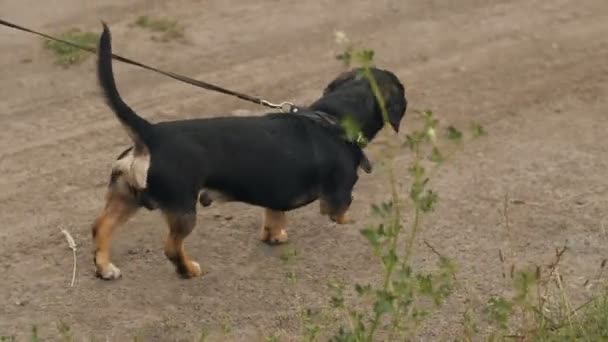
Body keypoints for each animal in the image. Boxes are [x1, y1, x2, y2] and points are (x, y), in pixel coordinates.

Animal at [92, 24, 406, 280]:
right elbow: (342, 214)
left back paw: (105, 268)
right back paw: (188, 269)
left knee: (100, 228)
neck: (332, 118)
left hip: (125, 196)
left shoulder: (275, 195)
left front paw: (274, 236)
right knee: (171, 247)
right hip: (183, 209)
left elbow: (274, 217)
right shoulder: (337, 198)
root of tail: (150, 135)